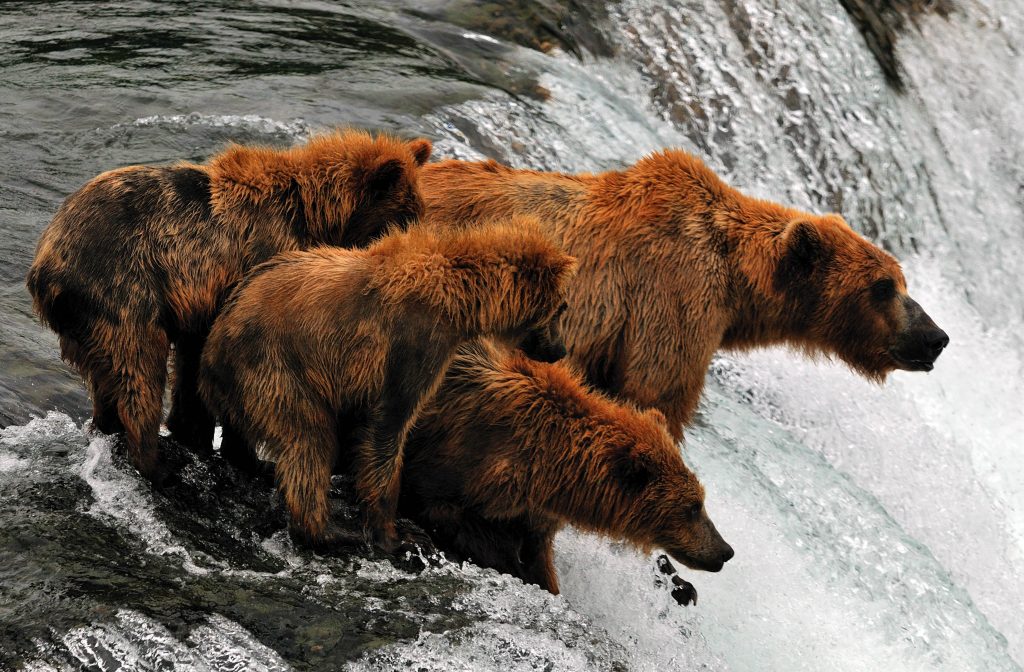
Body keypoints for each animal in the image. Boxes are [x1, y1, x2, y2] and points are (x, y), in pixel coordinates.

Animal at [24, 128, 432, 479]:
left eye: (418, 212)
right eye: (404, 216)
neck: (316, 217)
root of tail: (45, 262)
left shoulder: (198, 304)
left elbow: (194, 366)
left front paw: (195, 434)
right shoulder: (256, 266)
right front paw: (249, 457)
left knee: (108, 376)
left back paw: (108, 428)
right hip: (122, 284)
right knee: (138, 366)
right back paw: (156, 463)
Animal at [193, 218, 577, 553]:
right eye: (562, 307)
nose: (561, 350)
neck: (459, 299)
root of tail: (212, 348)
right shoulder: (412, 345)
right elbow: (389, 427)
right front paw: (395, 534)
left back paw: (258, 465)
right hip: (276, 369)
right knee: (309, 440)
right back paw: (330, 530)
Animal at [399, 338, 737, 602]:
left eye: (700, 500)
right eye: (692, 507)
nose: (725, 551)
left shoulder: (532, 513)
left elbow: (539, 560)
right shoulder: (458, 459)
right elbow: (447, 513)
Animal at [419, 154, 946, 444]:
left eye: (902, 281)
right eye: (884, 287)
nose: (936, 336)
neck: (737, 285)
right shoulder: (672, 298)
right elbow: (655, 396)